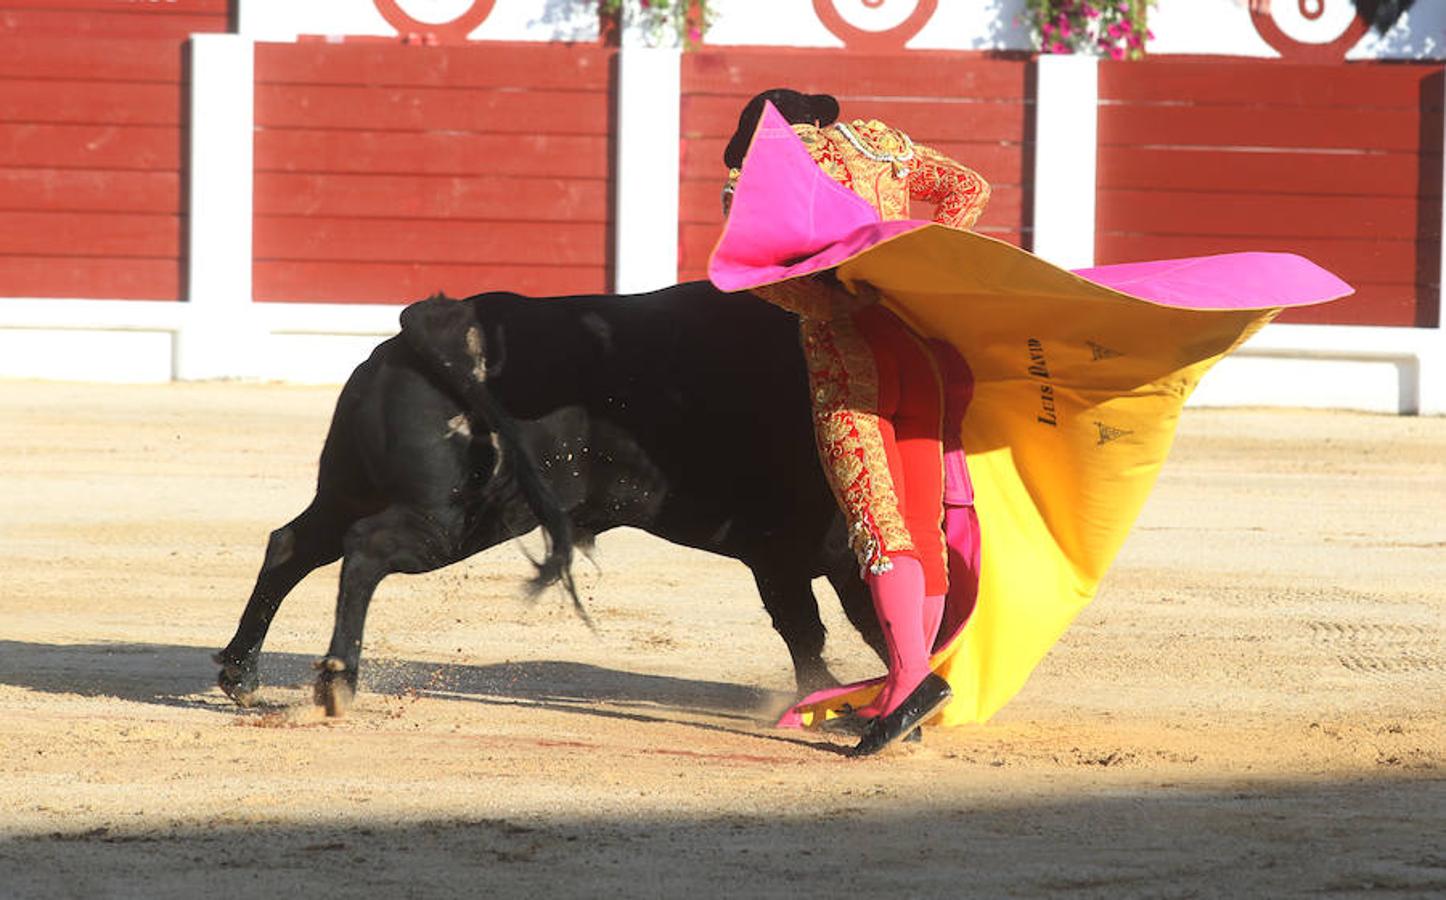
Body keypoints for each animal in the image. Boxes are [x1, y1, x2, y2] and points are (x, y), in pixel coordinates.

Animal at [215, 283, 884, 720]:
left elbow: (806, 631)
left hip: (352, 489)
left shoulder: (779, 557)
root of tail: (434, 324)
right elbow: (858, 625)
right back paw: (337, 681)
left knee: (293, 545)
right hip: (461, 517)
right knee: (365, 549)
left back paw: (241, 673)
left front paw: (831, 697)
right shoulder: (824, 554)